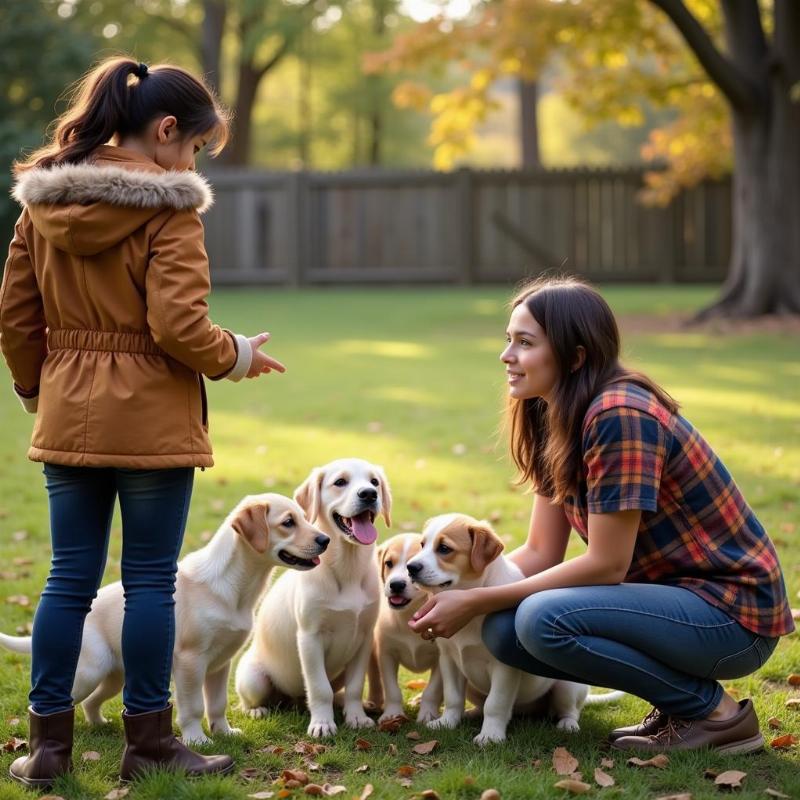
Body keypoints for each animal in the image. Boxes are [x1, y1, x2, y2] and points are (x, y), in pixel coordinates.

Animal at [0, 494, 330, 744]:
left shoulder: (220, 664)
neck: (234, 586)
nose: (325, 539)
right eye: (288, 523)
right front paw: (197, 740)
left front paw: (224, 732)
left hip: (115, 676)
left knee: (90, 702)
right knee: (60, 700)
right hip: (90, 671)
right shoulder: (190, 661)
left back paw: (100, 726)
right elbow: (193, 706)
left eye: (304, 517)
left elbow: (217, 704)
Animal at [234, 456, 390, 736]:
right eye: (340, 482)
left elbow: (354, 686)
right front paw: (322, 723)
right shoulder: (310, 637)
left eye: (374, 482)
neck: (348, 568)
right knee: (250, 700)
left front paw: (356, 716)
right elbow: (319, 688)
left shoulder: (364, 637)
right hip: (253, 679)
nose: (369, 494)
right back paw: (257, 710)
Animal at [376, 532, 444, 724]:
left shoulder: (441, 658)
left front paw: (428, 714)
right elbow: (392, 690)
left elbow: (432, 690)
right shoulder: (387, 654)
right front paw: (392, 714)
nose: (396, 585)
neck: (407, 614)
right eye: (388, 563)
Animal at [406, 516, 624, 748]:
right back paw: (471, 713)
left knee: (569, 710)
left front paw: (491, 736)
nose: (411, 567)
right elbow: (453, 697)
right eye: (422, 544)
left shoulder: (503, 667)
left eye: (444, 548)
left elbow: (495, 703)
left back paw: (568, 725)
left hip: (567, 686)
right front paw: (447, 723)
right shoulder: (449, 659)